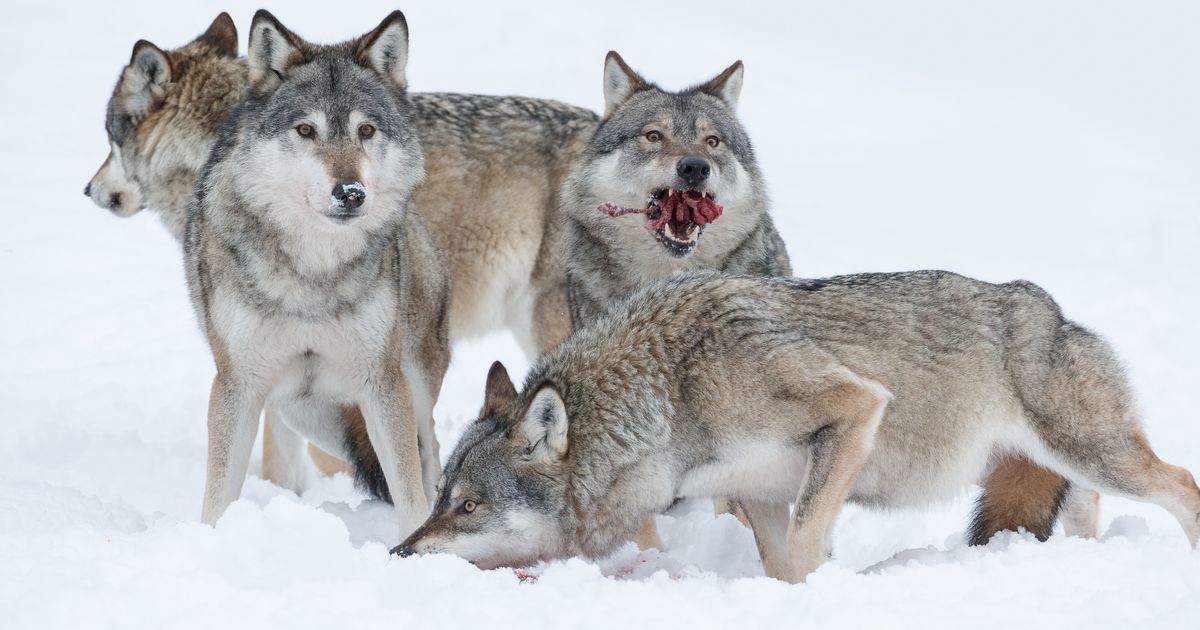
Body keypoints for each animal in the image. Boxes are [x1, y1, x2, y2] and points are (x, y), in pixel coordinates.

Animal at [182, 9, 451, 532]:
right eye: (306, 130)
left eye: (366, 131)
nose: (351, 193)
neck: (312, 272)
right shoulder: (237, 386)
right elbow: (217, 495)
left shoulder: (382, 383)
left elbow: (410, 493)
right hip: (303, 411)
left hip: (409, 387)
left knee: (430, 454)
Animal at [396, 272, 1200, 583]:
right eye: (439, 499)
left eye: (469, 506)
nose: (398, 554)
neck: (669, 398)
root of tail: (1051, 306)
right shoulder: (758, 494)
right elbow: (781, 563)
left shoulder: (855, 405)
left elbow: (814, 542)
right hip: (1058, 467)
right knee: (1086, 508)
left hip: (1093, 453)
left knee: (1184, 484)